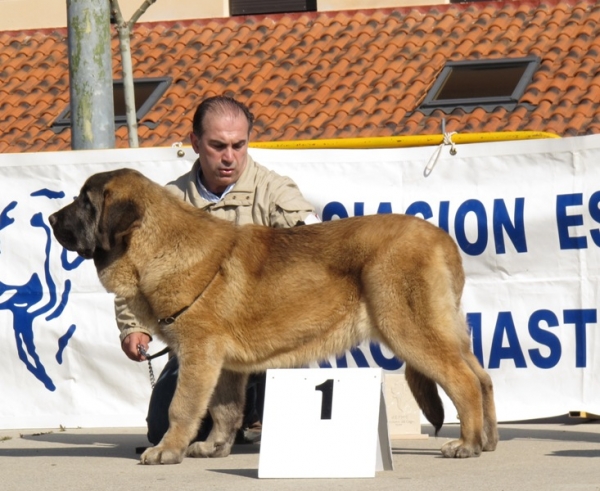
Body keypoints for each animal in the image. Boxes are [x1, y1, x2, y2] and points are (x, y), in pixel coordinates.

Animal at [48, 169, 496, 466]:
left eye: (85, 202)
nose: (50, 219)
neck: (160, 244)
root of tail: (442, 238)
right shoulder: (223, 365)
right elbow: (224, 410)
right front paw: (215, 446)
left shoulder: (199, 353)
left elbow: (183, 407)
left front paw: (167, 449)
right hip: (445, 329)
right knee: (483, 377)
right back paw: (488, 438)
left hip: (409, 330)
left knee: (462, 381)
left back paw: (467, 444)